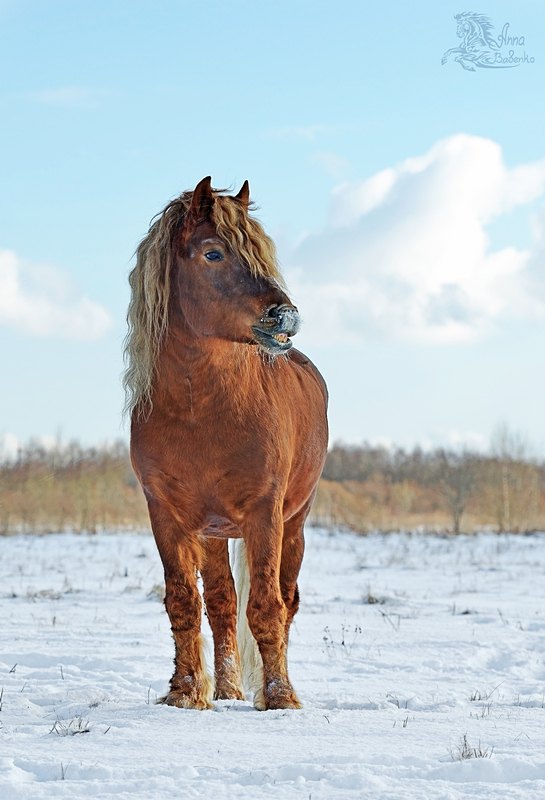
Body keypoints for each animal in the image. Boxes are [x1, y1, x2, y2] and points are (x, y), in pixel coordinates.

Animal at [123, 178, 328, 708]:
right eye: (212, 253)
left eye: (260, 250)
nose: (285, 315)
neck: (202, 415)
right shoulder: (167, 516)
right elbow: (185, 602)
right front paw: (184, 693)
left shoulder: (264, 514)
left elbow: (266, 606)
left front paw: (280, 698)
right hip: (213, 533)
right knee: (220, 603)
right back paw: (231, 689)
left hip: (294, 522)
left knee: (286, 600)